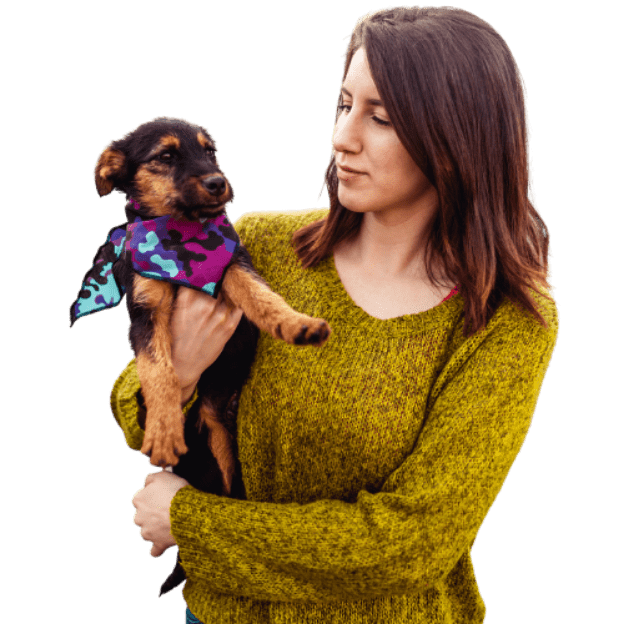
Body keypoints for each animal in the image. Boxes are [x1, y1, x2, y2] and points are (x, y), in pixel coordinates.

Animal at [69, 116, 332, 596]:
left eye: (210, 152)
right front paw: (162, 429)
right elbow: (157, 368)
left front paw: (296, 324)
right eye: (166, 156)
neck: (181, 239)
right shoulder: (145, 311)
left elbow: (262, 296)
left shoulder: (234, 265)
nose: (218, 183)